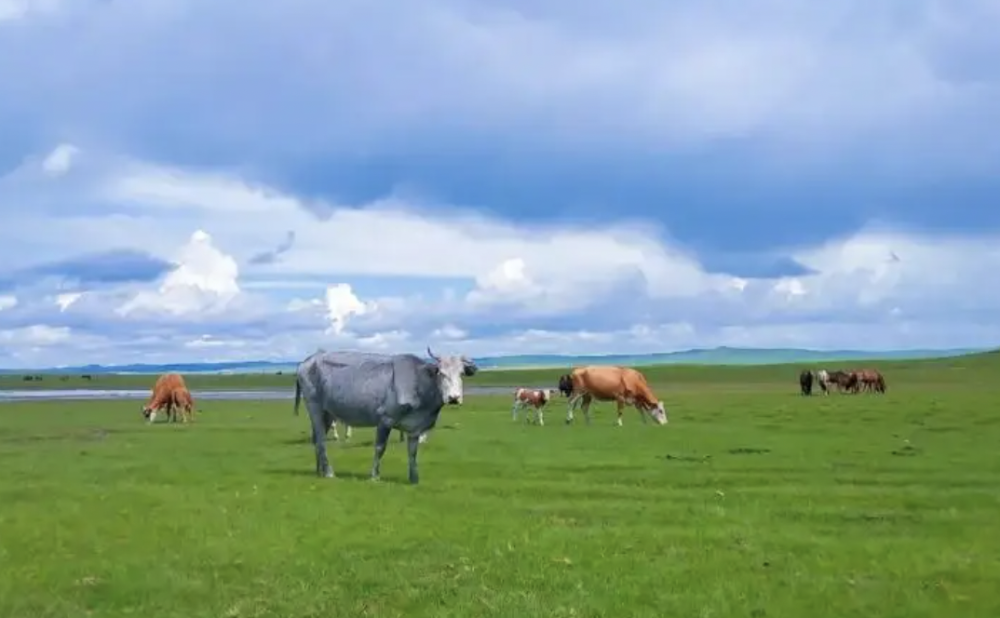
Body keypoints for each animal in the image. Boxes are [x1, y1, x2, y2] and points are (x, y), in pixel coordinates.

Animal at [292, 346, 476, 482]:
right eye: (441, 373)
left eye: (461, 373)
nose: (454, 398)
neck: (419, 382)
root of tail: (308, 361)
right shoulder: (385, 420)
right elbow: (380, 448)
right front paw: (374, 476)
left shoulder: (415, 429)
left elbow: (413, 452)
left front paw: (414, 479)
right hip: (314, 407)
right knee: (321, 440)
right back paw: (329, 473)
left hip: (328, 413)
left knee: (317, 440)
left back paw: (320, 472)